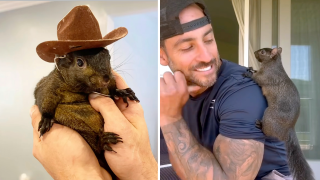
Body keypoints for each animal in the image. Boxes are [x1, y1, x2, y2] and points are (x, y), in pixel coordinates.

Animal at [33, 47, 139, 179]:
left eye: (108, 57)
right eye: (79, 62)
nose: (106, 78)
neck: (83, 89)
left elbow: (112, 90)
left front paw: (121, 92)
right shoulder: (49, 85)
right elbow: (44, 97)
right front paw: (46, 119)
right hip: (82, 130)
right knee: (97, 149)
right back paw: (103, 141)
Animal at [244, 47, 314, 179]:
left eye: (262, 52)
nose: (255, 52)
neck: (272, 65)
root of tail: (289, 129)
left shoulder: (266, 77)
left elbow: (257, 78)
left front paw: (248, 73)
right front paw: (251, 68)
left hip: (269, 115)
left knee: (268, 133)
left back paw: (260, 125)